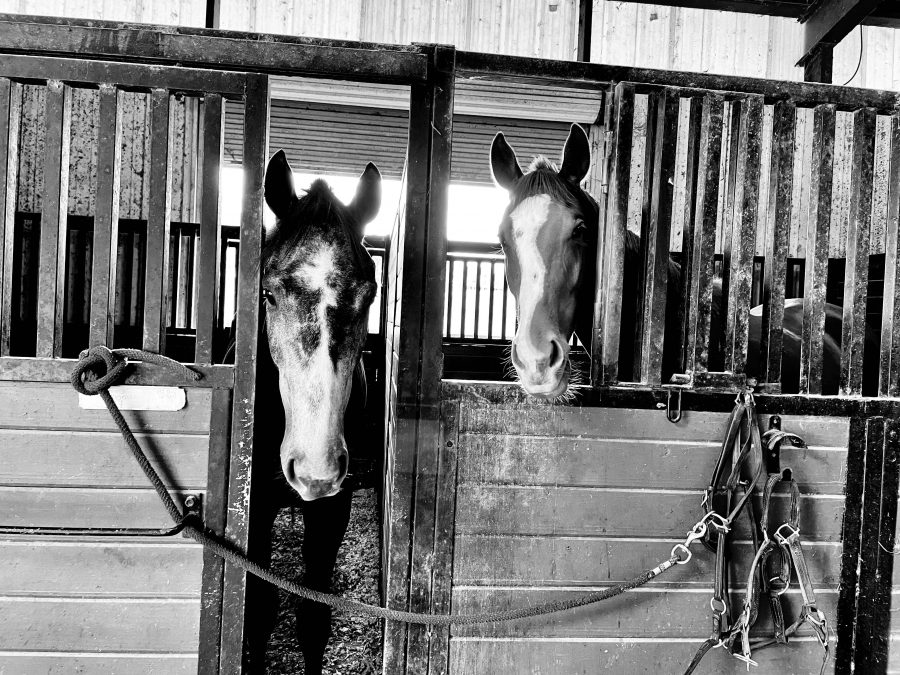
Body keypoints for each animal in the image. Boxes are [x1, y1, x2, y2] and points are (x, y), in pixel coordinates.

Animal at [240, 149, 381, 673]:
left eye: (369, 294)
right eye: (268, 293)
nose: (315, 472)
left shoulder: (332, 509)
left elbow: (313, 617)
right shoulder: (256, 507)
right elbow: (259, 610)